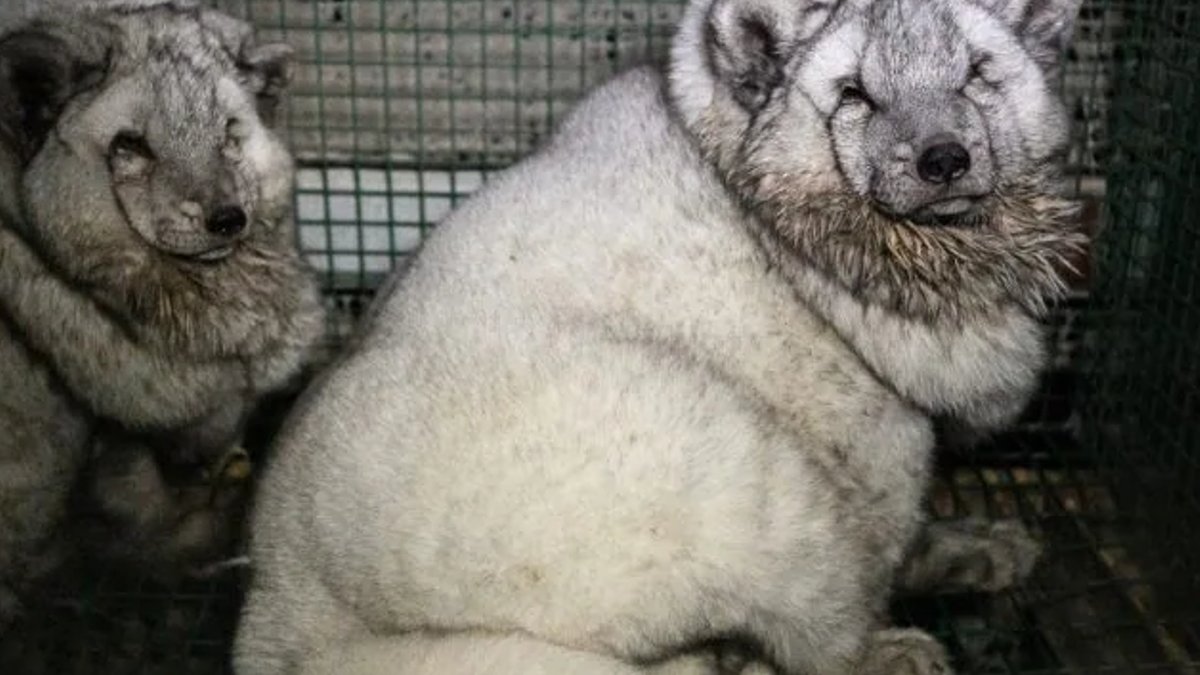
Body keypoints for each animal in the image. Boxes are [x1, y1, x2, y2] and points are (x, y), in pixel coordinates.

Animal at [235, 0, 1084, 673]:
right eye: (854, 94)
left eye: (976, 72)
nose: (945, 159)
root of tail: (282, 616)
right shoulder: (878, 434)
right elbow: (882, 544)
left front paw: (966, 547)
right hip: (732, 461)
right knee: (819, 619)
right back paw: (885, 650)